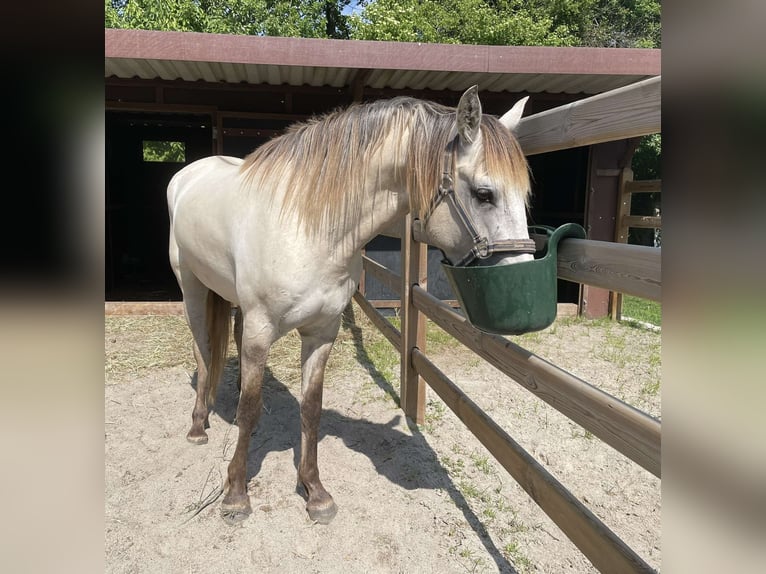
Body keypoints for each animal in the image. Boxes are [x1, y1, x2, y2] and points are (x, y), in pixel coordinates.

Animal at [166, 85, 540, 528]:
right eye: (485, 194)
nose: (521, 282)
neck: (308, 226)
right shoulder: (261, 330)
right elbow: (251, 410)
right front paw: (237, 494)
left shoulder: (322, 332)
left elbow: (311, 408)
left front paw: (314, 492)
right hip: (191, 286)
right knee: (203, 349)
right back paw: (198, 425)